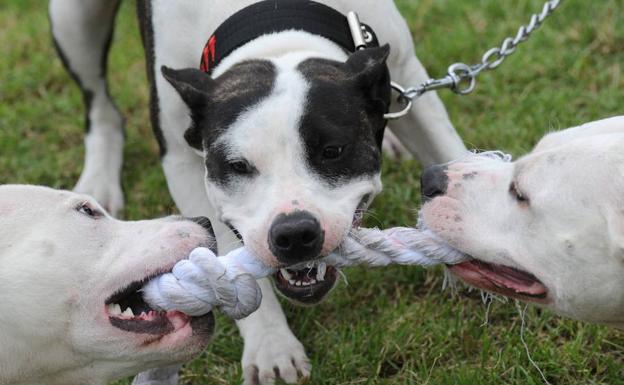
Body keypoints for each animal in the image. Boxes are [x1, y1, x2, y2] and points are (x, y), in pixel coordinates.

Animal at [48, 1, 466, 382]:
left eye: (333, 151)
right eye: (237, 166)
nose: (294, 233)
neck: (274, 23)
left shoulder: (410, 80)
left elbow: (449, 151)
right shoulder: (182, 160)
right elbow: (224, 255)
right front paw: (272, 345)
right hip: (72, 18)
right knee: (100, 106)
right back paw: (99, 179)